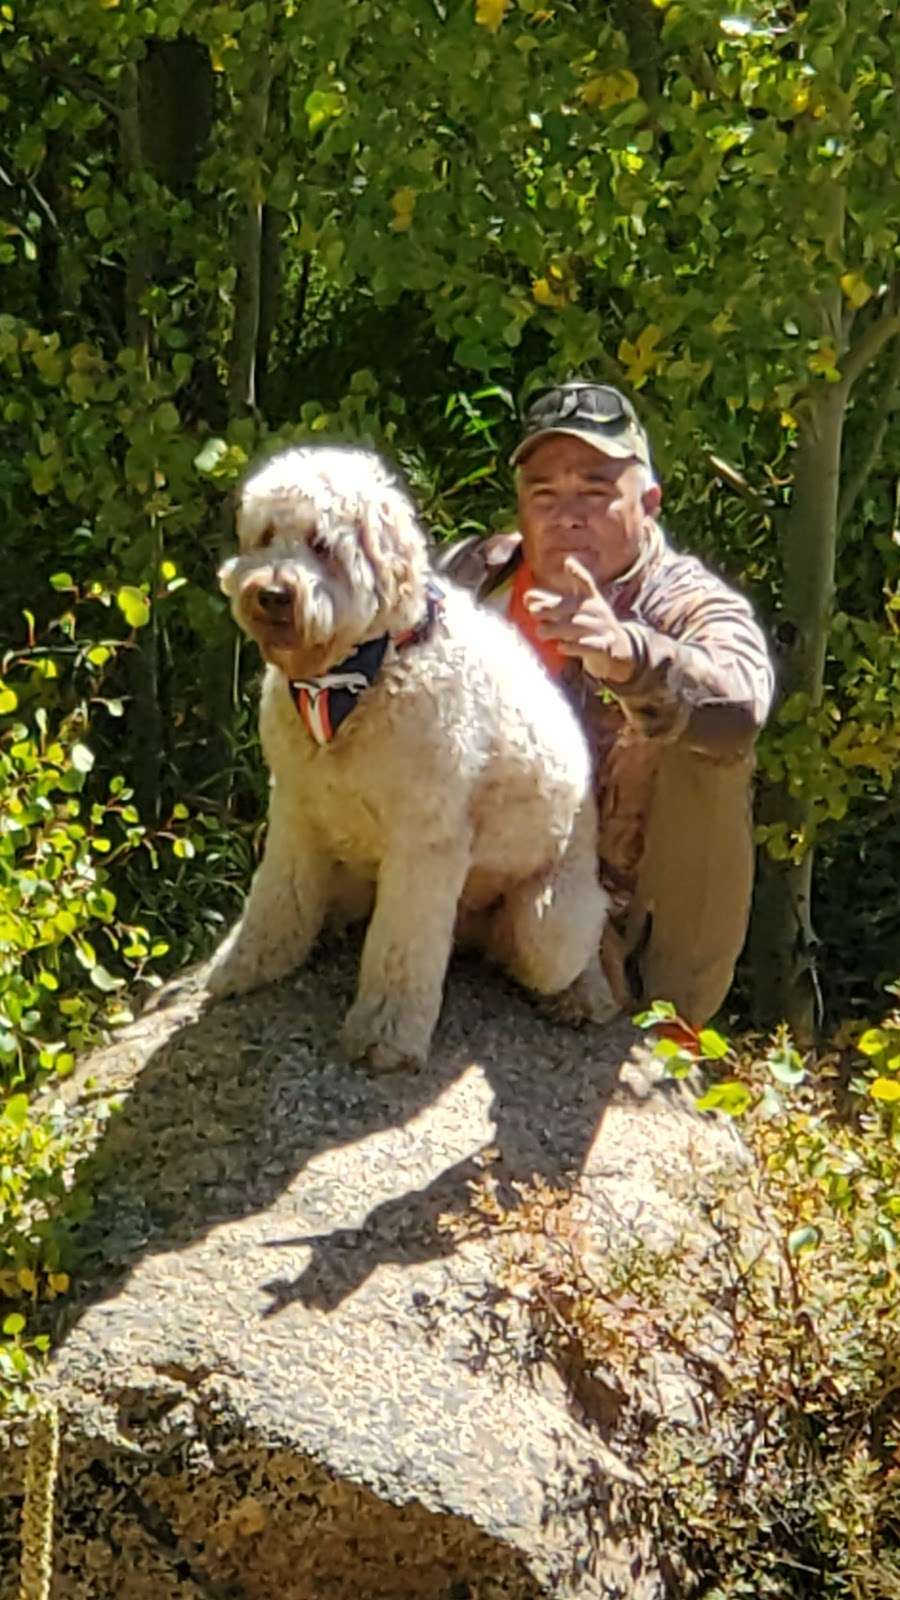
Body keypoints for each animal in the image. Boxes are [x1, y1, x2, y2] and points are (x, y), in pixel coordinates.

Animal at [208, 444, 614, 1068]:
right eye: (266, 535)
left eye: (322, 545)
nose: (272, 594)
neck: (354, 679)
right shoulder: (296, 811)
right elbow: (277, 898)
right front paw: (248, 963)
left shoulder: (424, 842)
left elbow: (401, 947)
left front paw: (385, 1033)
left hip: (551, 921)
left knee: (573, 945)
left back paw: (583, 995)